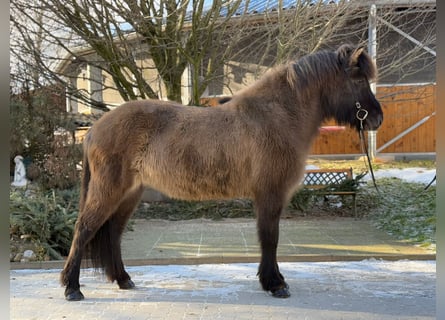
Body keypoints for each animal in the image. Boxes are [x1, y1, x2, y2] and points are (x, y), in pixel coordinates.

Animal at [60, 44, 384, 300]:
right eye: (358, 80)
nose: (377, 119)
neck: (277, 116)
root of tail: (95, 129)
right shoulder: (270, 194)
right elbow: (270, 237)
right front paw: (275, 284)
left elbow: (268, 237)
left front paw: (272, 280)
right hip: (109, 190)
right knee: (84, 228)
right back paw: (72, 288)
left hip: (130, 194)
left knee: (113, 233)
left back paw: (123, 279)